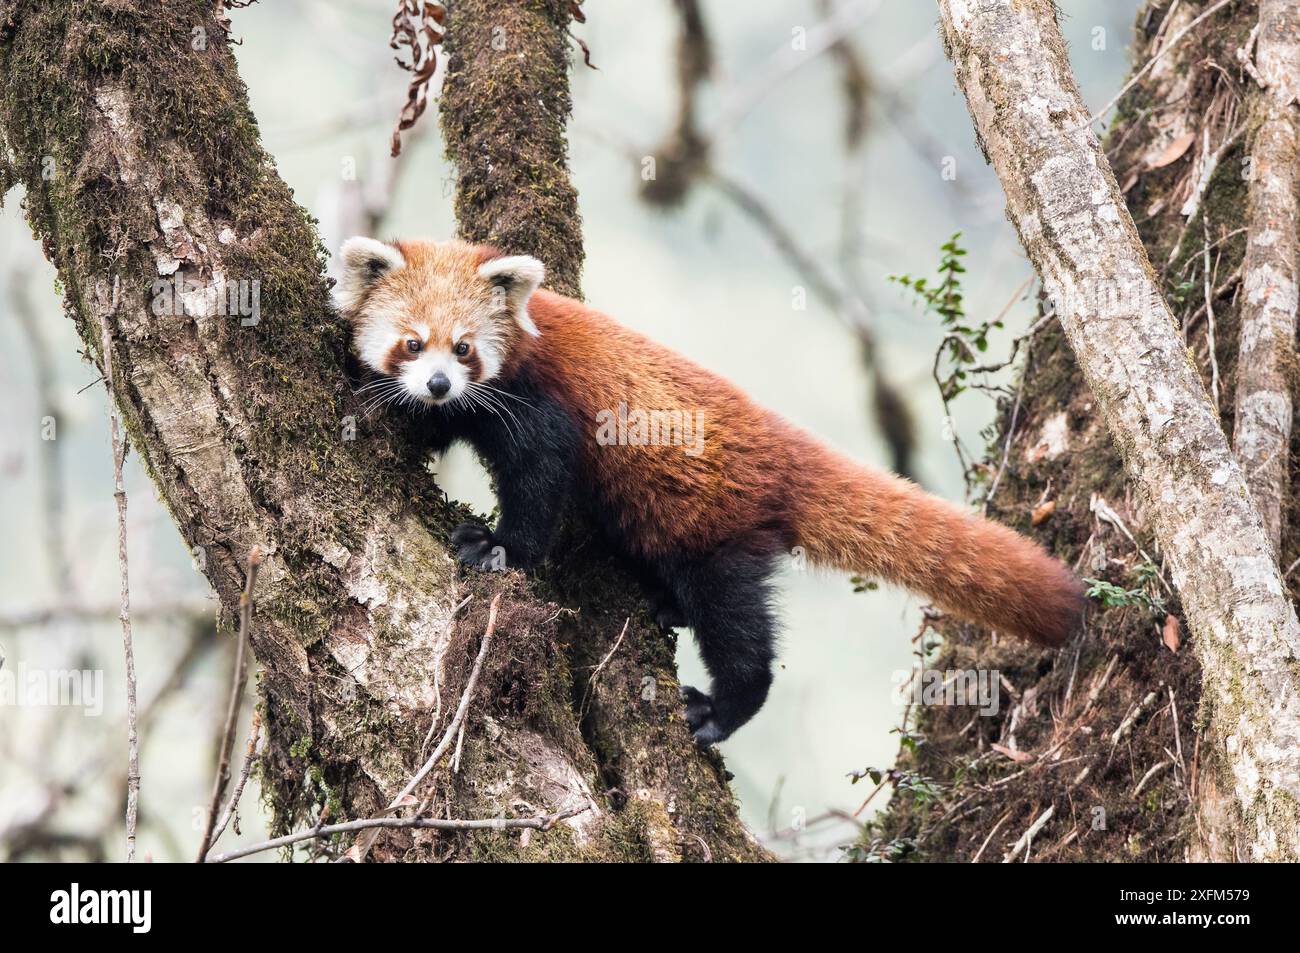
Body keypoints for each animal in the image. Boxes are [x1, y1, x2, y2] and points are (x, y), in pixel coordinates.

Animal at [338, 236, 1086, 743]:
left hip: (717, 527)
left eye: (464, 347)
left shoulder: (537, 406)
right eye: (413, 343)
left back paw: (723, 707)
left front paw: (499, 548)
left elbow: (540, 480)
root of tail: (783, 448)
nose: (440, 383)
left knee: (738, 626)